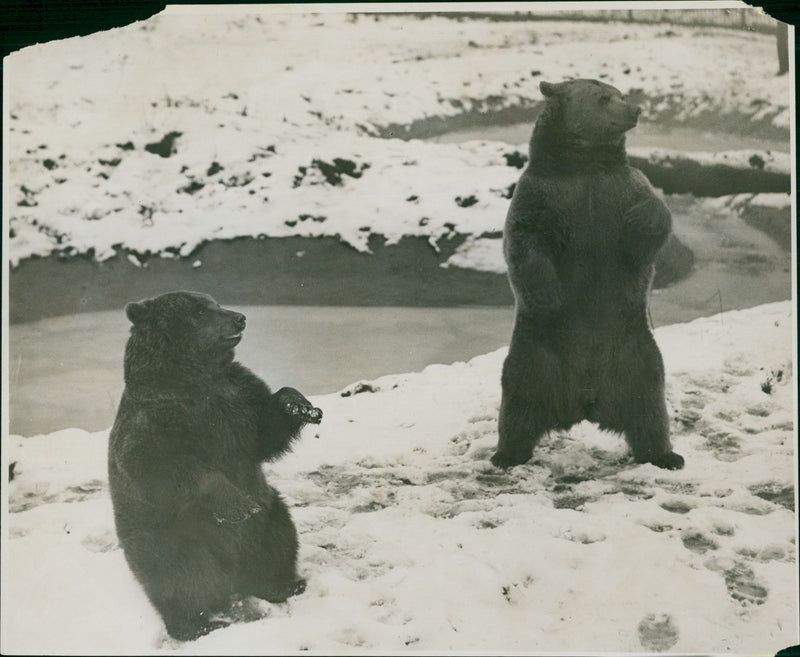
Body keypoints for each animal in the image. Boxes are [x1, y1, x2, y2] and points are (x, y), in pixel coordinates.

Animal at [107, 291, 323, 641]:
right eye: (199, 310)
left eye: (215, 303)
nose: (239, 318)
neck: (196, 378)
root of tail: (231, 575)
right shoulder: (155, 423)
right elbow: (165, 467)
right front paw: (238, 505)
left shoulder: (237, 397)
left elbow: (265, 432)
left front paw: (300, 404)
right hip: (170, 537)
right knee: (182, 578)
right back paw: (198, 624)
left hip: (268, 519)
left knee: (278, 539)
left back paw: (282, 583)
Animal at [492, 79, 684, 471]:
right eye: (603, 98)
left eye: (620, 94)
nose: (634, 110)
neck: (585, 165)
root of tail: (586, 402)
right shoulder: (542, 194)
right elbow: (525, 239)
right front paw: (548, 294)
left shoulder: (622, 188)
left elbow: (651, 218)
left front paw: (641, 218)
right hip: (537, 351)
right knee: (518, 399)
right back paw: (506, 455)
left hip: (634, 352)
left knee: (650, 405)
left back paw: (667, 455)